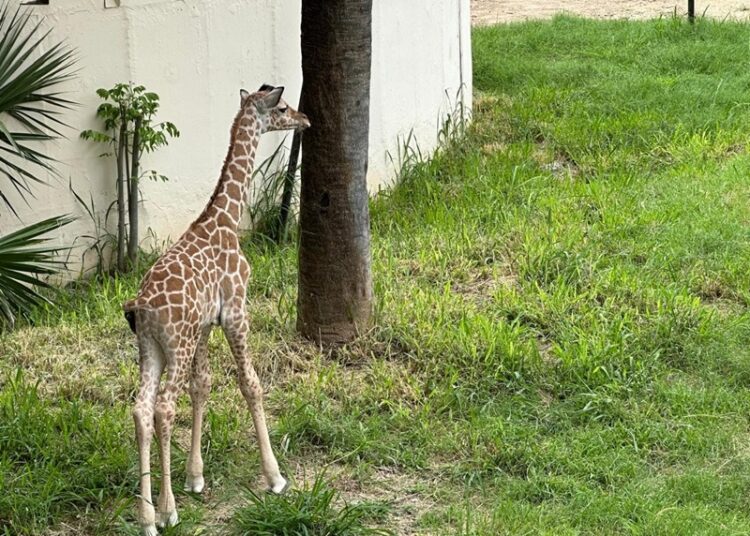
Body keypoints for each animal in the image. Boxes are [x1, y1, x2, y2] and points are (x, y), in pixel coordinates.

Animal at [122, 85, 310, 536]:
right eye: (281, 108)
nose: (306, 120)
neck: (225, 219)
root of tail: (141, 308)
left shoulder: (206, 325)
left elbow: (203, 386)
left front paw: (196, 476)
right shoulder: (236, 311)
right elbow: (251, 383)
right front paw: (275, 476)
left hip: (150, 349)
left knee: (141, 409)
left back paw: (147, 517)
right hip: (176, 345)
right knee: (163, 407)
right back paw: (168, 511)